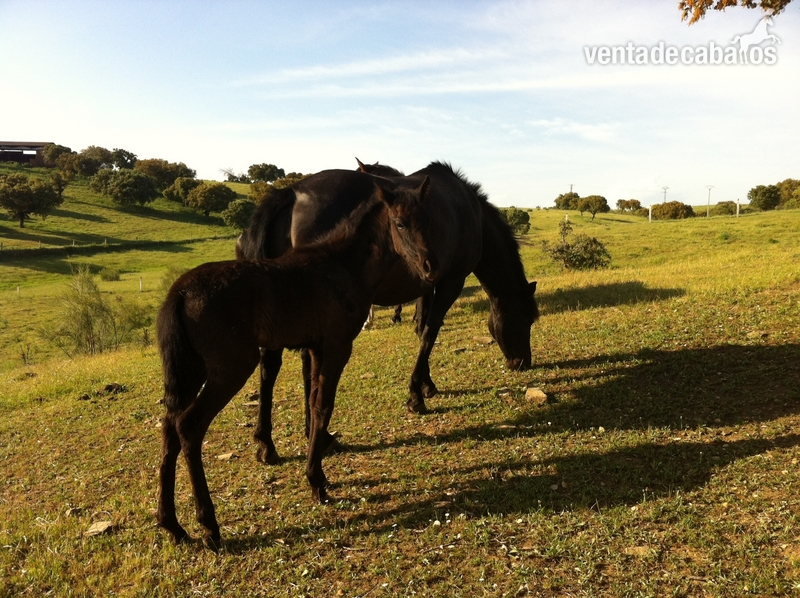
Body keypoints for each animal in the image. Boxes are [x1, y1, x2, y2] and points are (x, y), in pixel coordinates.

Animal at [156, 172, 434, 549]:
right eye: (400, 223)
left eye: (428, 219)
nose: (429, 268)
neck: (342, 264)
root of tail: (179, 293)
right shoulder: (337, 346)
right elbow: (323, 405)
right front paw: (316, 481)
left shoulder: (316, 348)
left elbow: (315, 403)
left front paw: (318, 472)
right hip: (229, 368)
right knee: (188, 426)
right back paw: (209, 526)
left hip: (189, 371)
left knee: (169, 426)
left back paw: (172, 525)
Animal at [236, 161, 539, 466]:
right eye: (526, 320)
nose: (522, 362)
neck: (469, 212)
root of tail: (290, 193)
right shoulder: (451, 282)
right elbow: (430, 332)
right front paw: (417, 396)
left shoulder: (427, 283)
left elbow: (421, 329)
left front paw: (426, 385)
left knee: (274, 365)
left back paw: (274, 442)